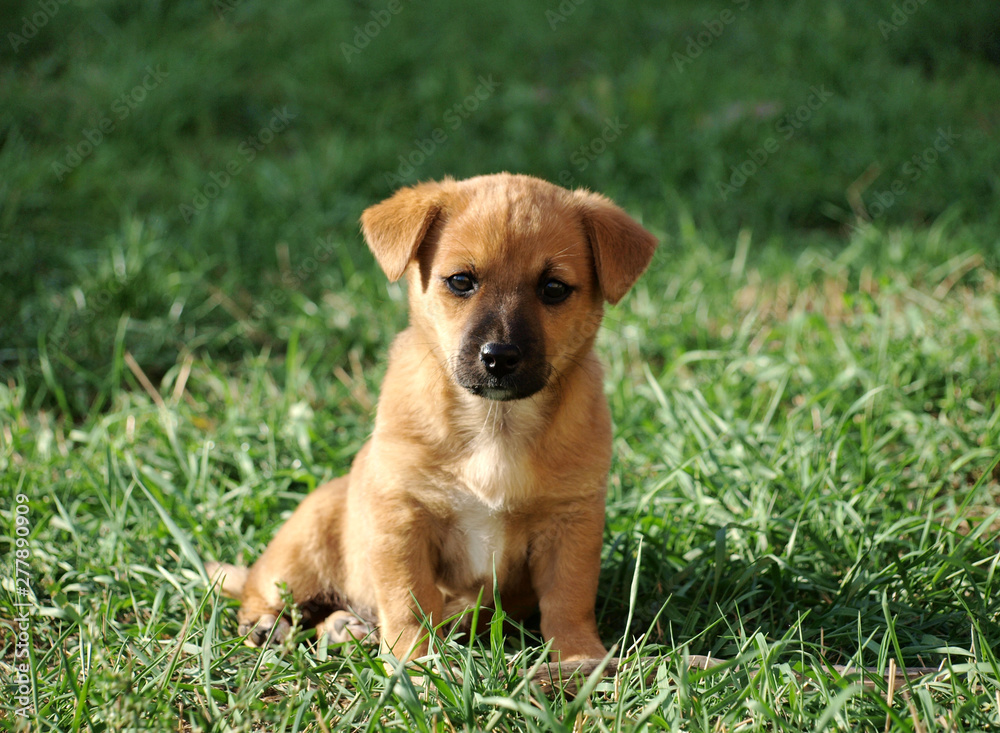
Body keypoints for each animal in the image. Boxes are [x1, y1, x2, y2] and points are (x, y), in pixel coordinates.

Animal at [206, 174, 656, 660]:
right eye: (461, 281)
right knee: (263, 590)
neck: (494, 422)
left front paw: (579, 658)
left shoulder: (571, 523)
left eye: (553, 288)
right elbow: (408, 602)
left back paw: (346, 627)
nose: (499, 357)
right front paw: (415, 664)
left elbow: (569, 600)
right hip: (303, 545)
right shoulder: (403, 517)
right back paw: (269, 626)